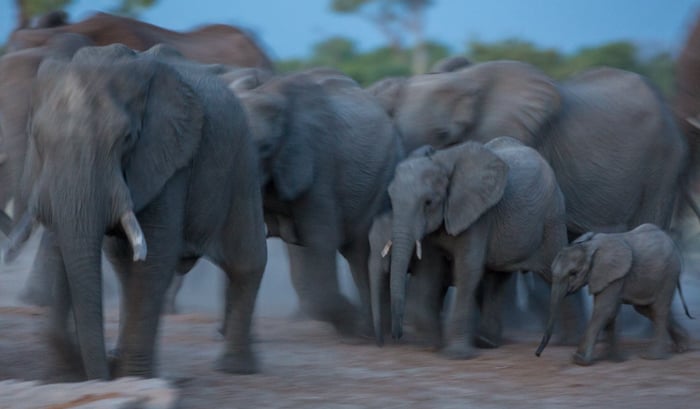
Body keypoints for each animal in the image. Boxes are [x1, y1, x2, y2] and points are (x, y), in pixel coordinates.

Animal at [4, 43, 267, 379]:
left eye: (127, 139)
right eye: (36, 137)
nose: (102, 372)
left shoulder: (169, 158)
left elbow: (155, 255)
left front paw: (127, 376)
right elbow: (63, 243)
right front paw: (73, 374)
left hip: (240, 162)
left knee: (245, 261)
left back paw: (235, 369)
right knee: (124, 266)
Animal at [230, 67, 404, 337]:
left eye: (266, 147)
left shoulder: (317, 162)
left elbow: (321, 239)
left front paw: (354, 327)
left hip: (382, 174)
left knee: (359, 251)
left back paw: (370, 331)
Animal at [385, 136, 568, 359]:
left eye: (428, 202)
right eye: (391, 198)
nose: (396, 336)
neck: (442, 159)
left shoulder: (479, 215)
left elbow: (467, 269)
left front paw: (456, 355)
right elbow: (430, 271)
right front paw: (433, 345)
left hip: (553, 218)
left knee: (556, 274)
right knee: (496, 280)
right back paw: (486, 342)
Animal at [536, 224, 693, 365]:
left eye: (573, 273)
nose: (537, 354)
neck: (589, 246)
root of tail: (671, 242)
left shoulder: (613, 273)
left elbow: (604, 310)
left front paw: (579, 360)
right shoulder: (606, 276)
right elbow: (611, 312)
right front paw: (614, 359)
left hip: (669, 273)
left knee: (659, 310)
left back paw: (653, 357)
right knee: (646, 309)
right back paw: (683, 346)